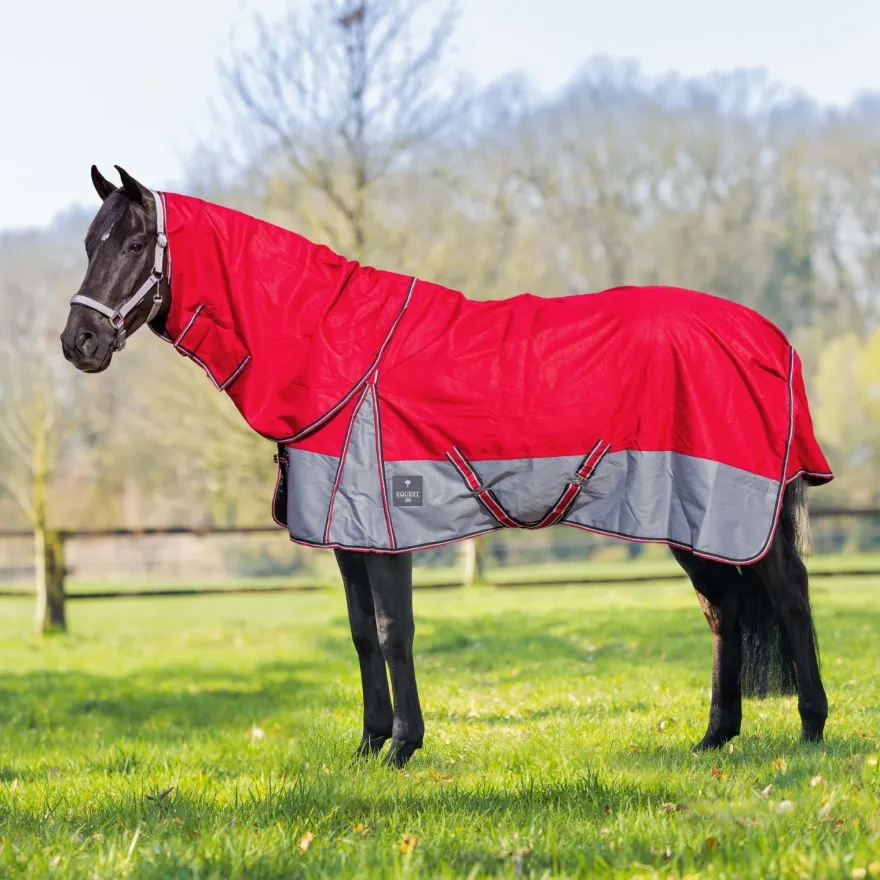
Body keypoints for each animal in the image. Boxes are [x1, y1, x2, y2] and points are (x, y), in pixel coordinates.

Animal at [61, 166, 832, 768]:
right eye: (90, 242)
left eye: (135, 242)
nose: (80, 342)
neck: (335, 344)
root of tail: (771, 340)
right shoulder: (345, 533)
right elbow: (359, 635)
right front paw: (369, 744)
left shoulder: (386, 526)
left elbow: (392, 632)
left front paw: (404, 746)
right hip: (688, 515)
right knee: (722, 610)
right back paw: (715, 737)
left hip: (737, 510)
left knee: (789, 595)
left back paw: (812, 730)